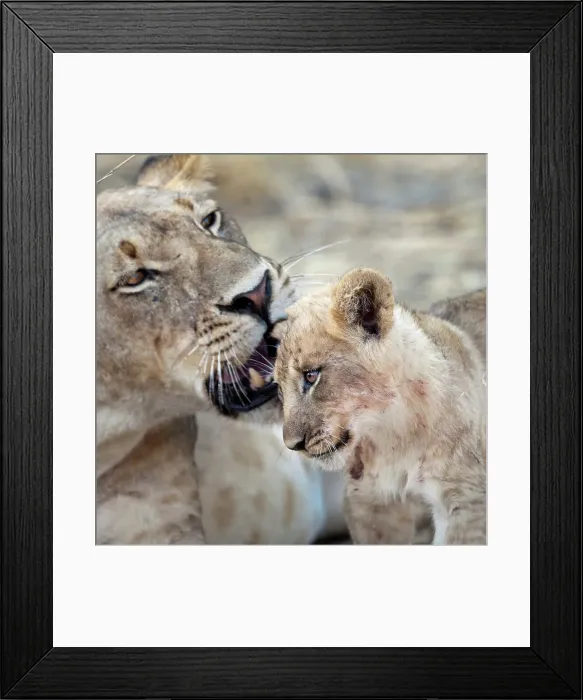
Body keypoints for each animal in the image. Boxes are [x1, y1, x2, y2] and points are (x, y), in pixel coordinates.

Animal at [274, 269, 487, 545]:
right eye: (279, 390)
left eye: (311, 376)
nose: (293, 445)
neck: (393, 435)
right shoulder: (368, 502)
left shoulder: (466, 501)